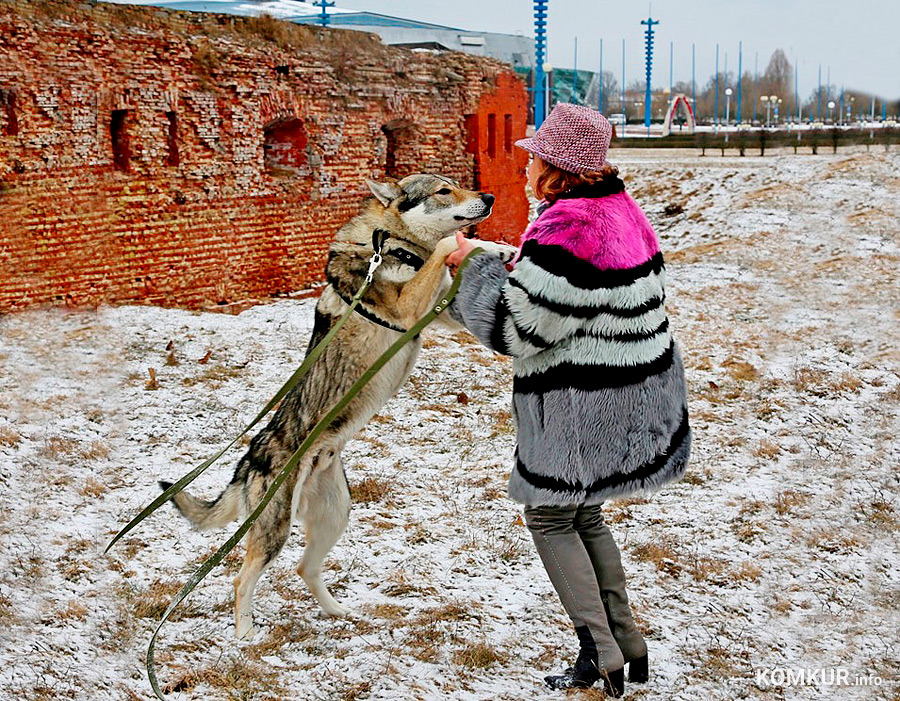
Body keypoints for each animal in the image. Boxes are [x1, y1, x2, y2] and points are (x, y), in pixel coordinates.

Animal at [161, 172, 512, 636]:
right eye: (443, 191)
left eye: (458, 184)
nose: (489, 197)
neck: (388, 243)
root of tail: (248, 460)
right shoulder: (407, 306)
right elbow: (443, 250)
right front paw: (473, 245)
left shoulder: (442, 315)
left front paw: (497, 248)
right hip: (276, 528)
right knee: (241, 577)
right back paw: (246, 636)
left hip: (335, 516)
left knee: (304, 569)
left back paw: (339, 613)